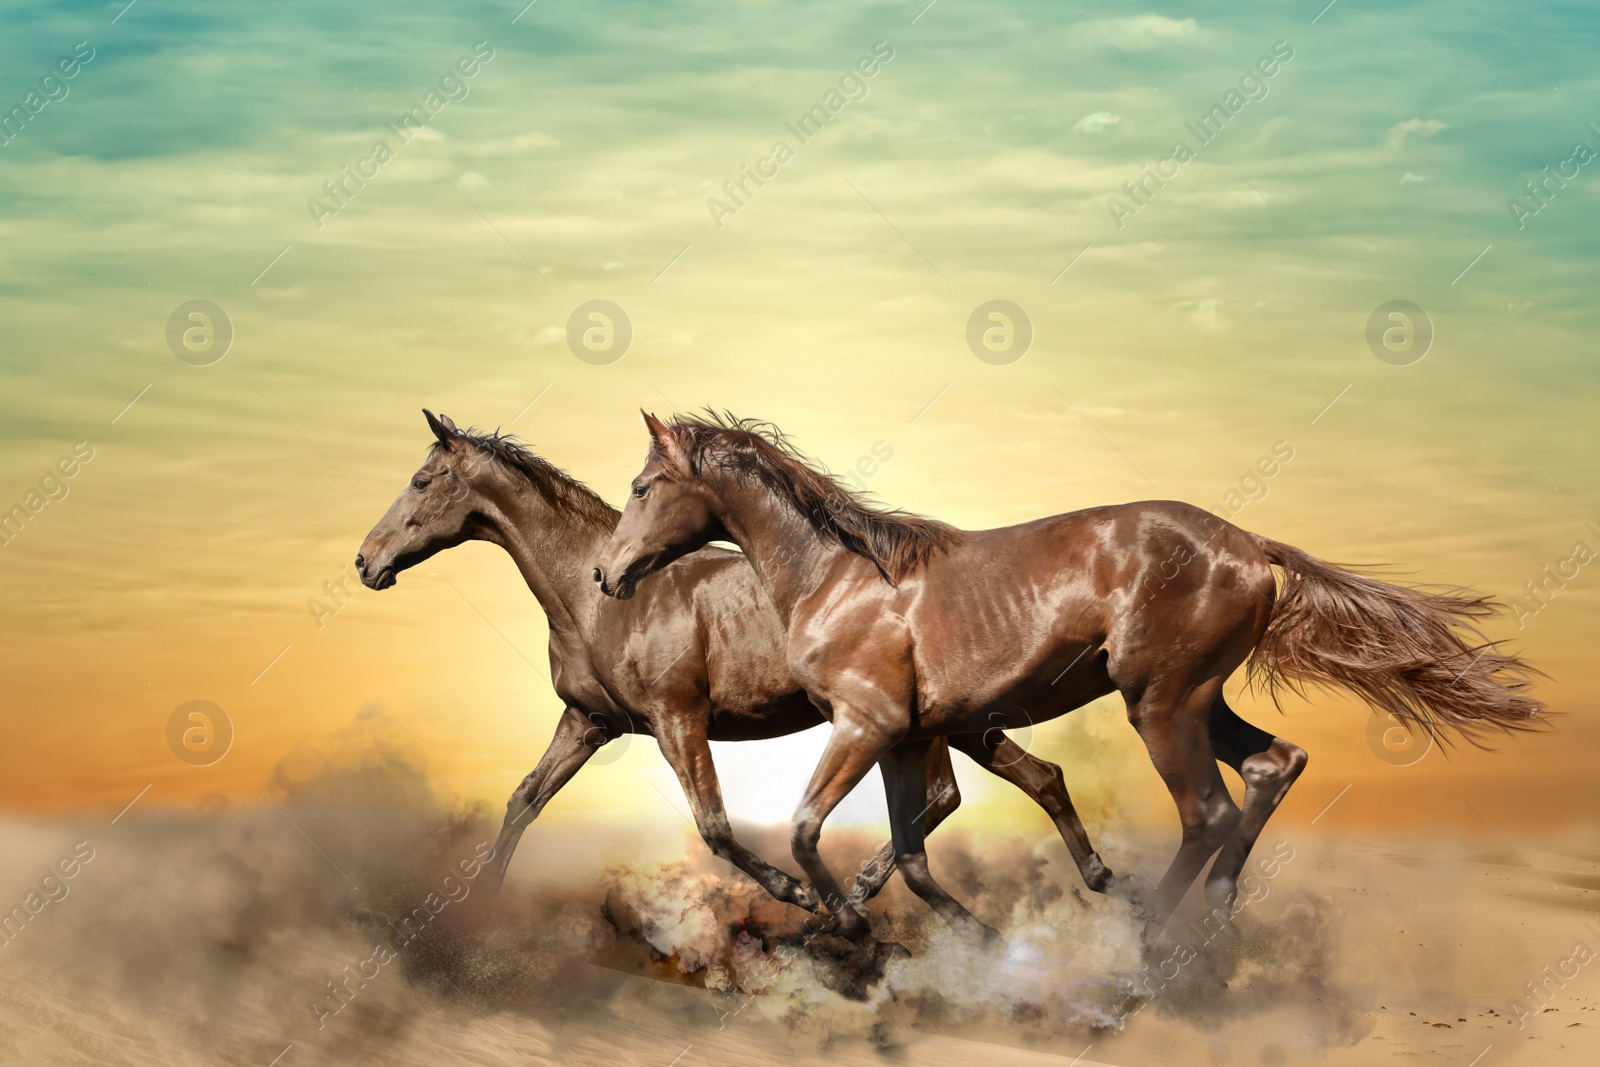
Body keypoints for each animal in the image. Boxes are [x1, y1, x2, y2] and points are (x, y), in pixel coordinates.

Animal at [360, 412, 1126, 915]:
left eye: (422, 479)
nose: (366, 561)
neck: (593, 597)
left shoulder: (677, 719)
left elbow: (714, 826)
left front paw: (798, 894)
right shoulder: (588, 721)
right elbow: (525, 798)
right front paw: (484, 903)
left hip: (932, 723)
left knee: (948, 796)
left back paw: (857, 896)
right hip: (966, 722)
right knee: (1034, 777)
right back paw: (1094, 875)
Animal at [595, 412, 1542, 940]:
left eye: (642, 485)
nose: (606, 574)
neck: (839, 574)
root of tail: (1249, 543)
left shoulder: (864, 725)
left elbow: (803, 829)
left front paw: (846, 918)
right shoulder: (903, 736)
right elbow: (913, 853)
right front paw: (925, 931)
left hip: (1162, 703)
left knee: (1209, 809)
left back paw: (1149, 942)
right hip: (1195, 698)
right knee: (1275, 765)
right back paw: (1217, 917)